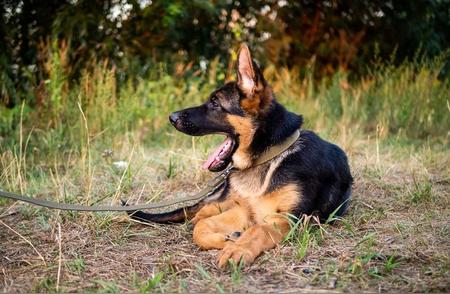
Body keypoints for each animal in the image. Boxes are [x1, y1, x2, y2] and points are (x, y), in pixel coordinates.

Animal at [128, 44, 354, 268]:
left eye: (215, 103)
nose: (172, 117)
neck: (269, 157)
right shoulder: (243, 211)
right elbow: (202, 227)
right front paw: (226, 240)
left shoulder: (287, 219)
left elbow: (258, 229)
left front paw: (238, 248)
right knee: (203, 209)